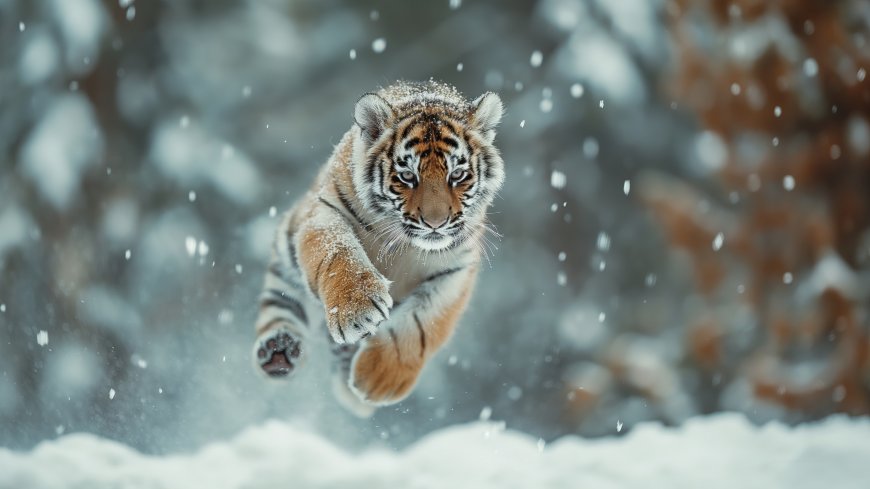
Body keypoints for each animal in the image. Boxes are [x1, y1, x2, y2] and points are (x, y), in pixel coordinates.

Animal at [252, 80, 504, 415]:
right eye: (407, 176)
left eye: (458, 175)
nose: (436, 223)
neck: (407, 246)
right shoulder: (325, 215)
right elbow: (339, 255)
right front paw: (357, 310)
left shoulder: (457, 269)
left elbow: (421, 325)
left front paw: (376, 379)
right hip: (288, 243)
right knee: (281, 299)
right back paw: (278, 351)